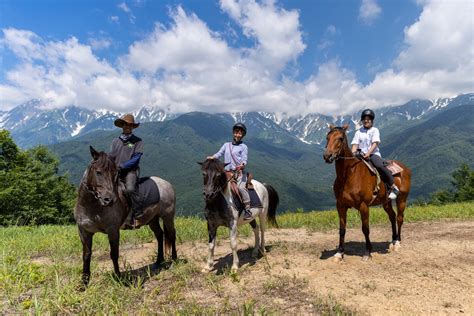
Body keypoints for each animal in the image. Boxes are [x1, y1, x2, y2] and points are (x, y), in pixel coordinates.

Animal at [74, 147, 178, 286]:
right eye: (98, 172)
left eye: (115, 174)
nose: (109, 199)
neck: (91, 207)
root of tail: (166, 183)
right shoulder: (84, 231)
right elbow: (86, 255)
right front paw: (84, 283)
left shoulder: (113, 230)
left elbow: (114, 254)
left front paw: (118, 279)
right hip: (153, 219)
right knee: (159, 235)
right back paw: (158, 261)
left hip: (168, 216)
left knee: (171, 234)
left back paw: (174, 259)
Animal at [322, 124, 412, 260]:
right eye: (327, 137)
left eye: (340, 138)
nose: (327, 156)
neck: (349, 175)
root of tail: (405, 168)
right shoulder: (341, 205)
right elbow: (342, 229)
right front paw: (339, 253)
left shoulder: (363, 206)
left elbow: (365, 228)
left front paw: (367, 252)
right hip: (386, 202)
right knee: (392, 216)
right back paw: (393, 240)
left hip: (402, 198)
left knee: (399, 218)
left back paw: (397, 243)